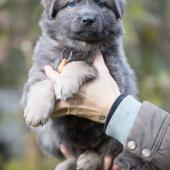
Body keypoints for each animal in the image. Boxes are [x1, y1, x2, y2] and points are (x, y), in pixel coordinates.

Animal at [21, 0, 138, 169]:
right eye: (71, 4)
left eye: (101, 4)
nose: (88, 20)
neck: (77, 47)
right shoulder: (39, 69)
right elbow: (41, 84)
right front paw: (36, 111)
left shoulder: (116, 75)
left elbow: (80, 63)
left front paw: (65, 82)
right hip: (48, 137)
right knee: (72, 154)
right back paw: (67, 164)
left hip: (118, 134)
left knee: (101, 152)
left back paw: (89, 160)